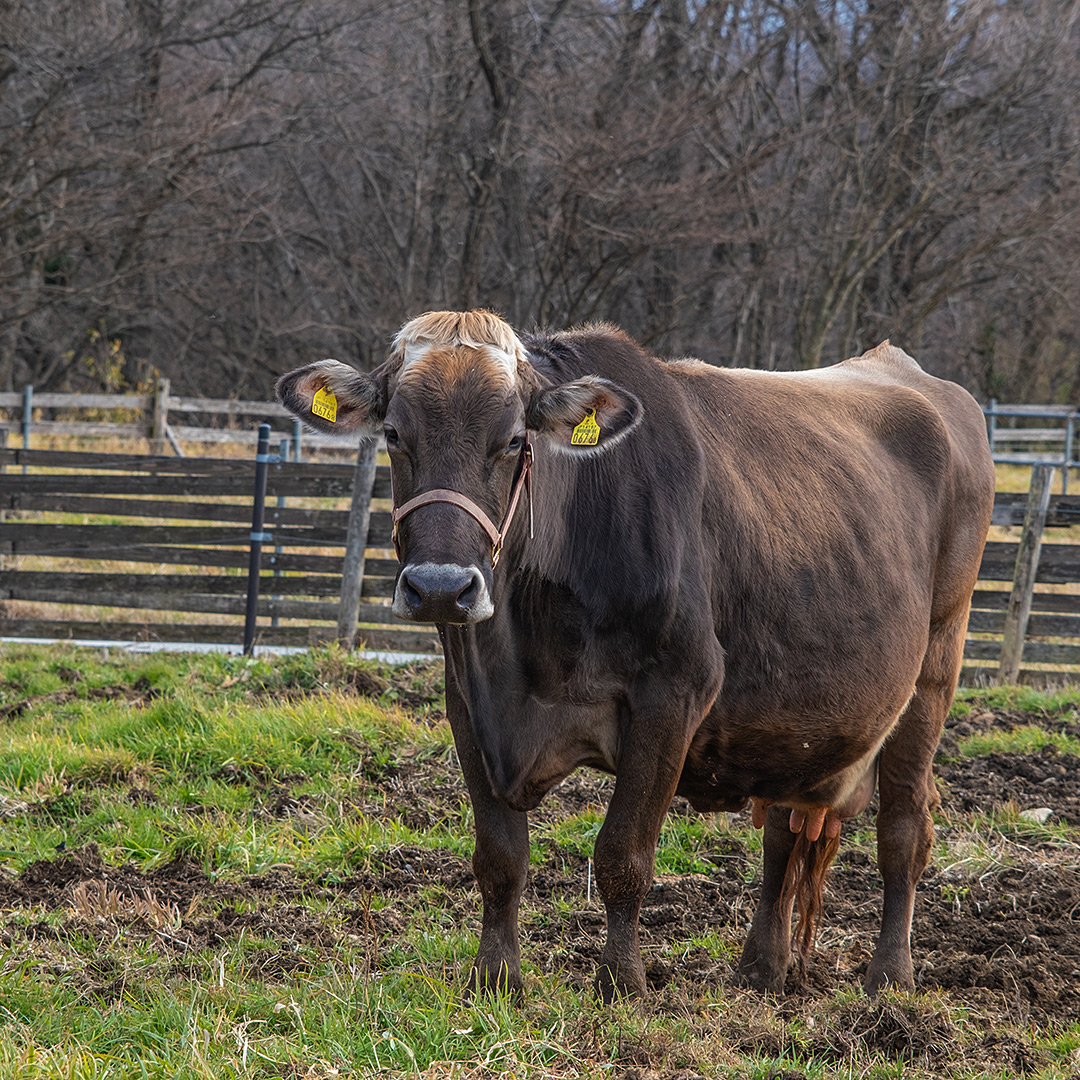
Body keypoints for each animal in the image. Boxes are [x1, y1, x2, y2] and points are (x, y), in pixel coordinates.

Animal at [278, 313, 993, 1002]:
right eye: (395, 433)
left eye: (512, 440)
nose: (440, 587)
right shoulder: (469, 704)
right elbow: (499, 856)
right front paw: (495, 978)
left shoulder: (674, 692)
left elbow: (624, 855)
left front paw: (621, 982)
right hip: (797, 723)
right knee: (783, 832)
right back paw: (761, 969)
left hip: (935, 666)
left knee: (905, 824)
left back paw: (889, 979)